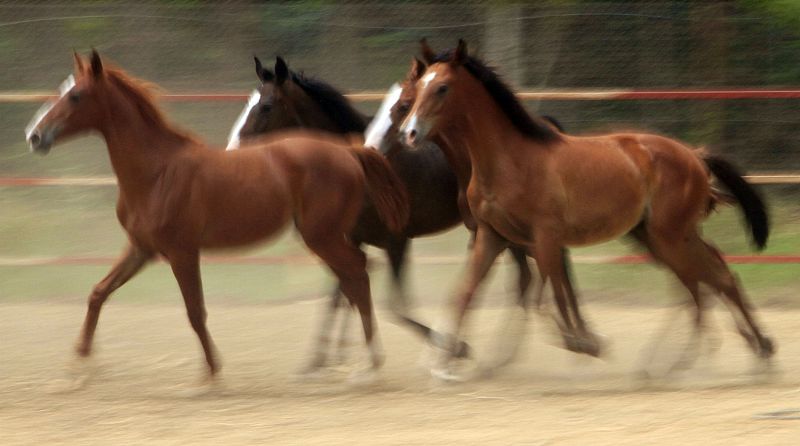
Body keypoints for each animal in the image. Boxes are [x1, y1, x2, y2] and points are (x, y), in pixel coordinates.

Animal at [24, 50, 409, 382]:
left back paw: (370, 363)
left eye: (76, 97)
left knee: (356, 274)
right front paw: (79, 367)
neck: (157, 172)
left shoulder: (181, 252)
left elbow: (195, 312)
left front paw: (211, 376)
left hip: (322, 236)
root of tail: (349, 151)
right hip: (325, 237)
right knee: (354, 276)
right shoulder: (141, 249)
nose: (34, 136)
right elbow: (98, 293)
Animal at [226, 56, 594, 370]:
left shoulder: (396, 240)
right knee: (541, 271)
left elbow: (393, 305)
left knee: (532, 275)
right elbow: (342, 292)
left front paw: (457, 349)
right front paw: (320, 361)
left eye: (266, 106)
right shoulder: (351, 239)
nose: (233, 151)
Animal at [397, 39, 774, 378]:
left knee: (707, 282)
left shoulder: (544, 238)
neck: (508, 161)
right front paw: (443, 364)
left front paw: (583, 344)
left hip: (670, 236)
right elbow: (466, 293)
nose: (408, 134)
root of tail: (694, 155)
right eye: (418, 90)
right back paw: (730, 354)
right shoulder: (492, 237)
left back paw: (694, 360)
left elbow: (549, 296)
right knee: (707, 280)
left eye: (442, 88)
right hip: (659, 236)